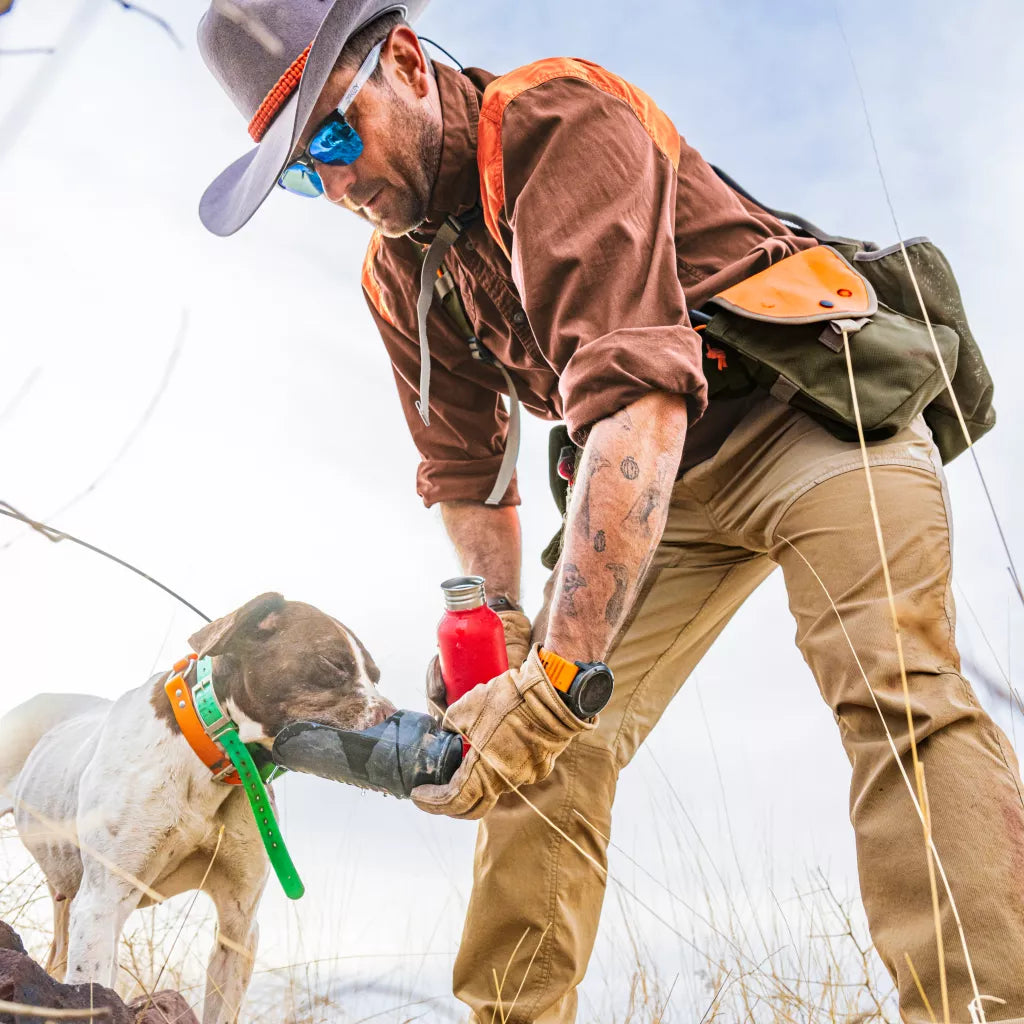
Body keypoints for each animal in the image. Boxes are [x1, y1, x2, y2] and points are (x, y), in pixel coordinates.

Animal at [0, 593, 395, 1024]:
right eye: (332, 662)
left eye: (376, 675)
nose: (394, 717)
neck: (213, 760)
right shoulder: (103, 902)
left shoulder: (239, 925)